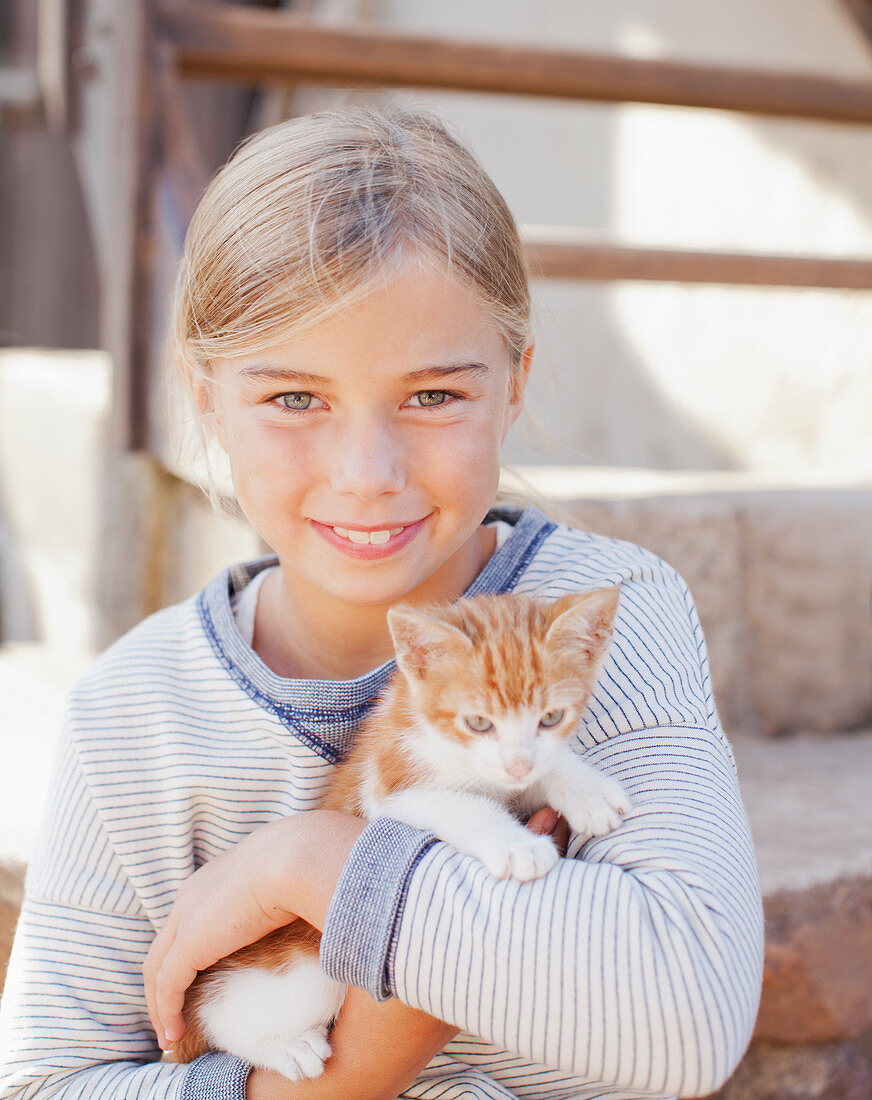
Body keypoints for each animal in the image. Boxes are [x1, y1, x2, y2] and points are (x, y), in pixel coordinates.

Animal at [170, 589, 628, 1078]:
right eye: (478, 723)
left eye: (551, 717)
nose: (518, 764)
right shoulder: (388, 787)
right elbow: (463, 805)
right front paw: (519, 845)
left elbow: (542, 769)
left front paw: (588, 791)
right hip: (300, 971)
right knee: (223, 1017)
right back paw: (285, 1048)